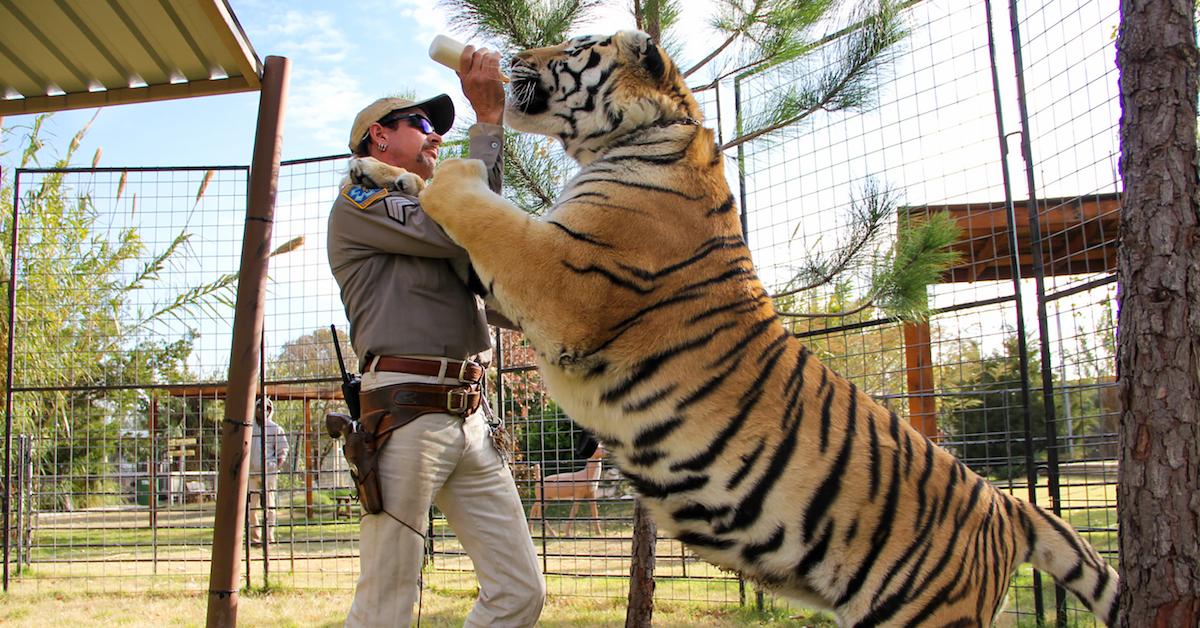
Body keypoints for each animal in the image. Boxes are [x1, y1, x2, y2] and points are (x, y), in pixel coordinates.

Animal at [415, 28, 1123, 624]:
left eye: (574, 46)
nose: (512, 58)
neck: (646, 133)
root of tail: (1007, 505)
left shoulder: (564, 279)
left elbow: (485, 213)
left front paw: (441, 172)